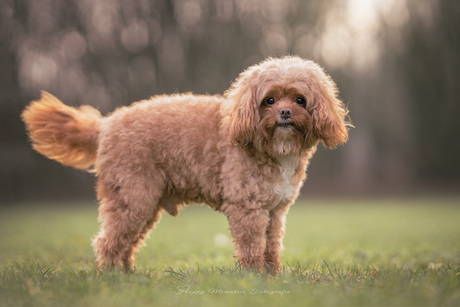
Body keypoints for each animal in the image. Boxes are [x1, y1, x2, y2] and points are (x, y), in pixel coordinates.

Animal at [21, 56, 350, 274]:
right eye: (269, 100)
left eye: (300, 99)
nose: (284, 112)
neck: (272, 147)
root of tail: (105, 125)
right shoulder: (248, 207)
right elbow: (252, 246)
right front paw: (253, 278)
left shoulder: (275, 210)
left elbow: (271, 245)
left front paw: (272, 276)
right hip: (134, 197)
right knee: (109, 240)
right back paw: (113, 276)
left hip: (145, 203)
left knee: (126, 241)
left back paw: (128, 275)